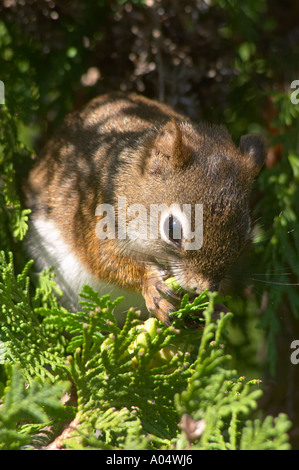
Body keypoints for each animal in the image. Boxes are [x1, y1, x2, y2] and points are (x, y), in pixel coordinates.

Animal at [24, 93, 266, 324]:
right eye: (172, 229)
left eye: (245, 235)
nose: (203, 288)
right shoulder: (95, 222)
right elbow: (104, 260)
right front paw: (150, 282)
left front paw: (210, 306)